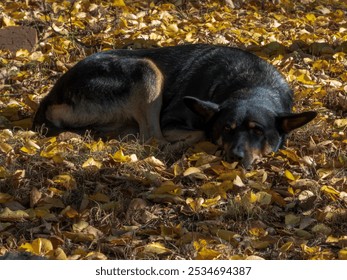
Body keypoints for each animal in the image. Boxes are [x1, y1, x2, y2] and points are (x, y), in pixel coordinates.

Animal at [32, 43, 318, 166]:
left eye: (258, 131)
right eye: (226, 129)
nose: (234, 157)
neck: (252, 84)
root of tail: (51, 96)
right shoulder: (172, 119)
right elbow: (201, 130)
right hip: (146, 70)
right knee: (151, 138)